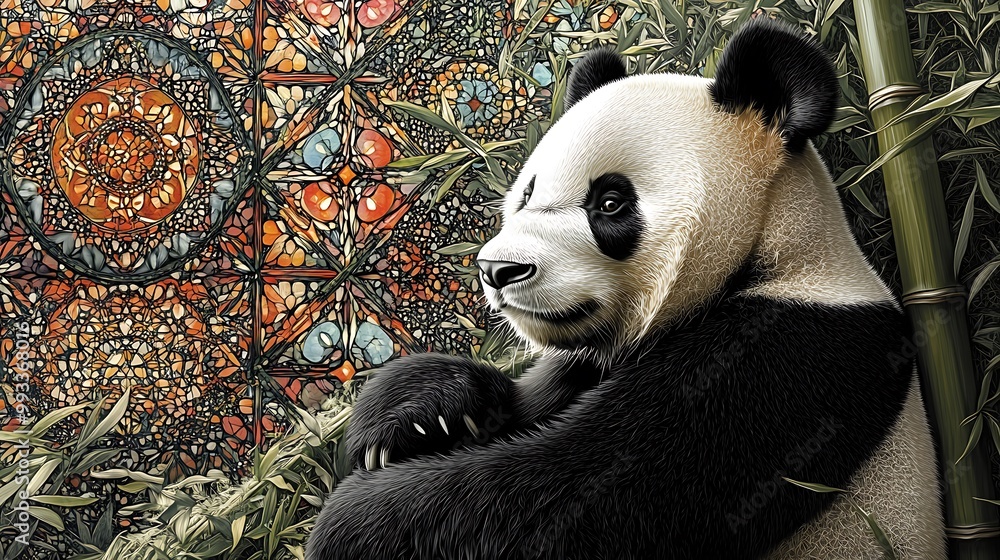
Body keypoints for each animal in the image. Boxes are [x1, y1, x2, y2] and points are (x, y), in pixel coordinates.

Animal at [306, 18, 945, 560]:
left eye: (610, 202)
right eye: (527, 191)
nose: (498, 270)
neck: (774, 251)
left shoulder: (789, 361)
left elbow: (582, 497)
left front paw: (354, 522)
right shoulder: (586, 363)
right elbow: (524, 403)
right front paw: (414, 416)